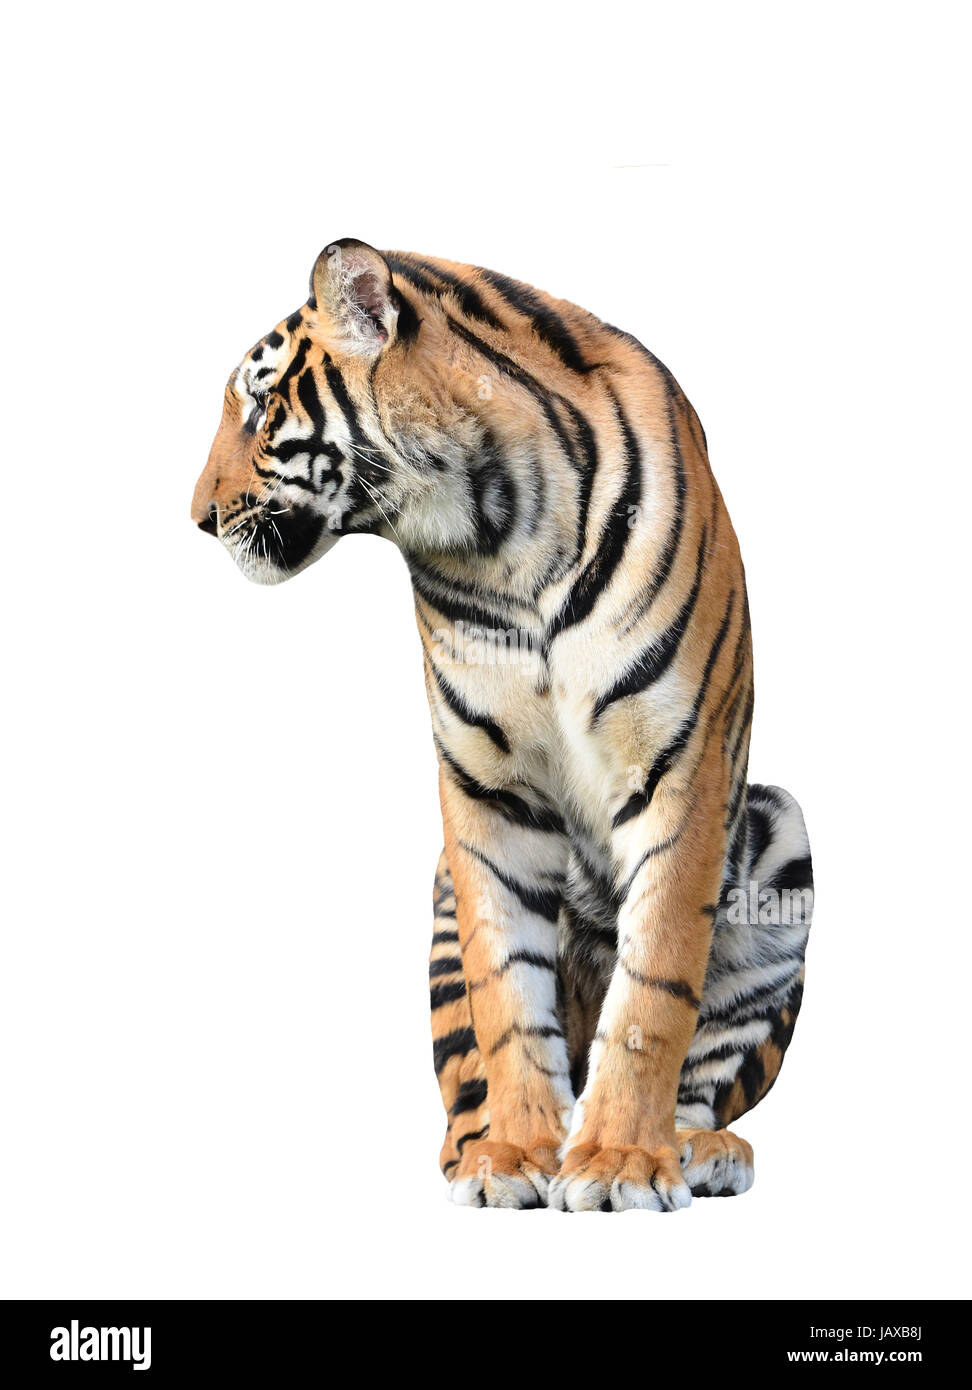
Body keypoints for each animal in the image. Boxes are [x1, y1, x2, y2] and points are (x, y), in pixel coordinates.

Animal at [191, 239, 813, 1211]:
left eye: (259, 408)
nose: (197, 516)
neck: (494, 529)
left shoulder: (682, 765)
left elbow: (654, 991)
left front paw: (620, 1161)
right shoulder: (486, 785)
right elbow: (508, 995)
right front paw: (516, 1155)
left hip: (781, 834)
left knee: (703, 1066)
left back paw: (696, 1149)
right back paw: (492, 1144)